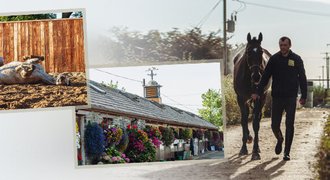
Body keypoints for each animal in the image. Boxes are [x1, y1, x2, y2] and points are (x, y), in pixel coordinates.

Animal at [232, 32, 270, 160]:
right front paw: (243, 148)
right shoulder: (241, 99)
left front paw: (255, 151)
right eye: (248, 52)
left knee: (257, 117)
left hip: (262, 98)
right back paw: (248, 138)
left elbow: (255, 123)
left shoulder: (258, 98)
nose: (257, 77)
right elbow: (243, 121)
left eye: (261, 51)